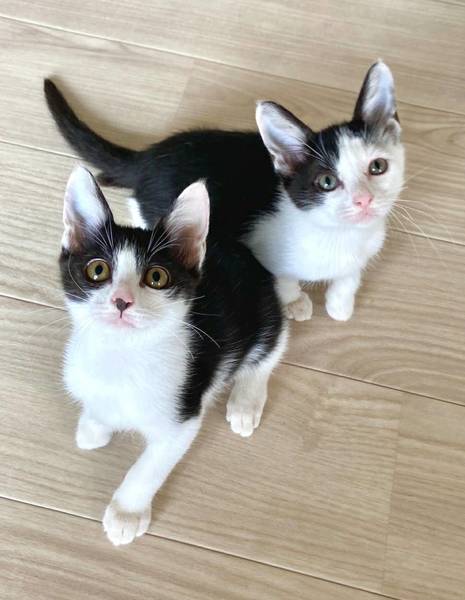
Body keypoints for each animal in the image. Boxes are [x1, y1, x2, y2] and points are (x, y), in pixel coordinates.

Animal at [45, 60, 405, 323]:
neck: (338, 235)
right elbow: (284, 278)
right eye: (327, 182)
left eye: (377, 167)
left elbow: (351, 274)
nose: (364, 200)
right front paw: (295, 302)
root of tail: (147, 157)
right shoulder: (262, 248)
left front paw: (340, 303)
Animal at [60, 165, 287, 545]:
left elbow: (149, 467)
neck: (121, 357)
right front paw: (93, 426)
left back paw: (246, 402)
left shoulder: (182, 417)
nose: (122, 300)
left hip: (264, 313)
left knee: (270, 349)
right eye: (97, 270)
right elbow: (97, 406)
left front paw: (126, 513)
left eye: (156, 276)